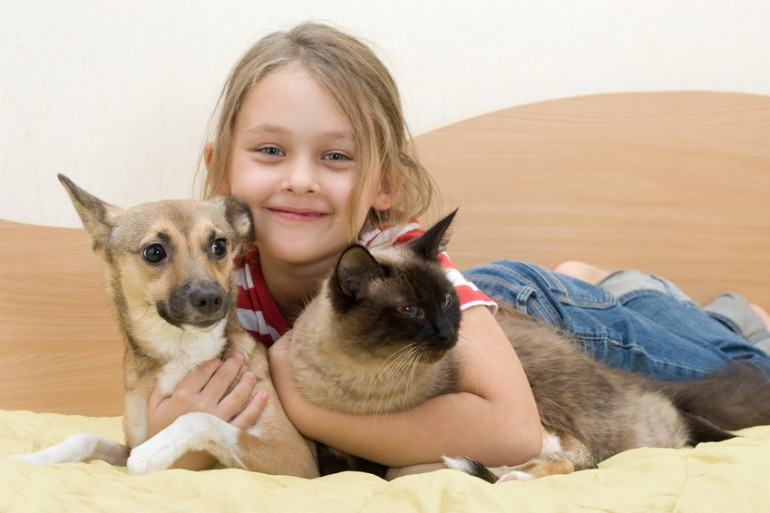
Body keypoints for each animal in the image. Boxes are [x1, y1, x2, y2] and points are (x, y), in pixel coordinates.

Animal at [13, 176, 316, 476]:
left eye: (219, 245)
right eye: (154, 252)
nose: (211, 298)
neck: (182, 349)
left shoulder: (294, 456)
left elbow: (200, 417)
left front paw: (152, 452)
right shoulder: (130, 442)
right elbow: (84, 437)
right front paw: (34, 459)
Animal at [288, 211, 768, 480]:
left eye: (446, 301)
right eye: (410, 311)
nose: (448, 335)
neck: (366, 388)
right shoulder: (343, 456)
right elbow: (346, 467)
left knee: (677, 421)